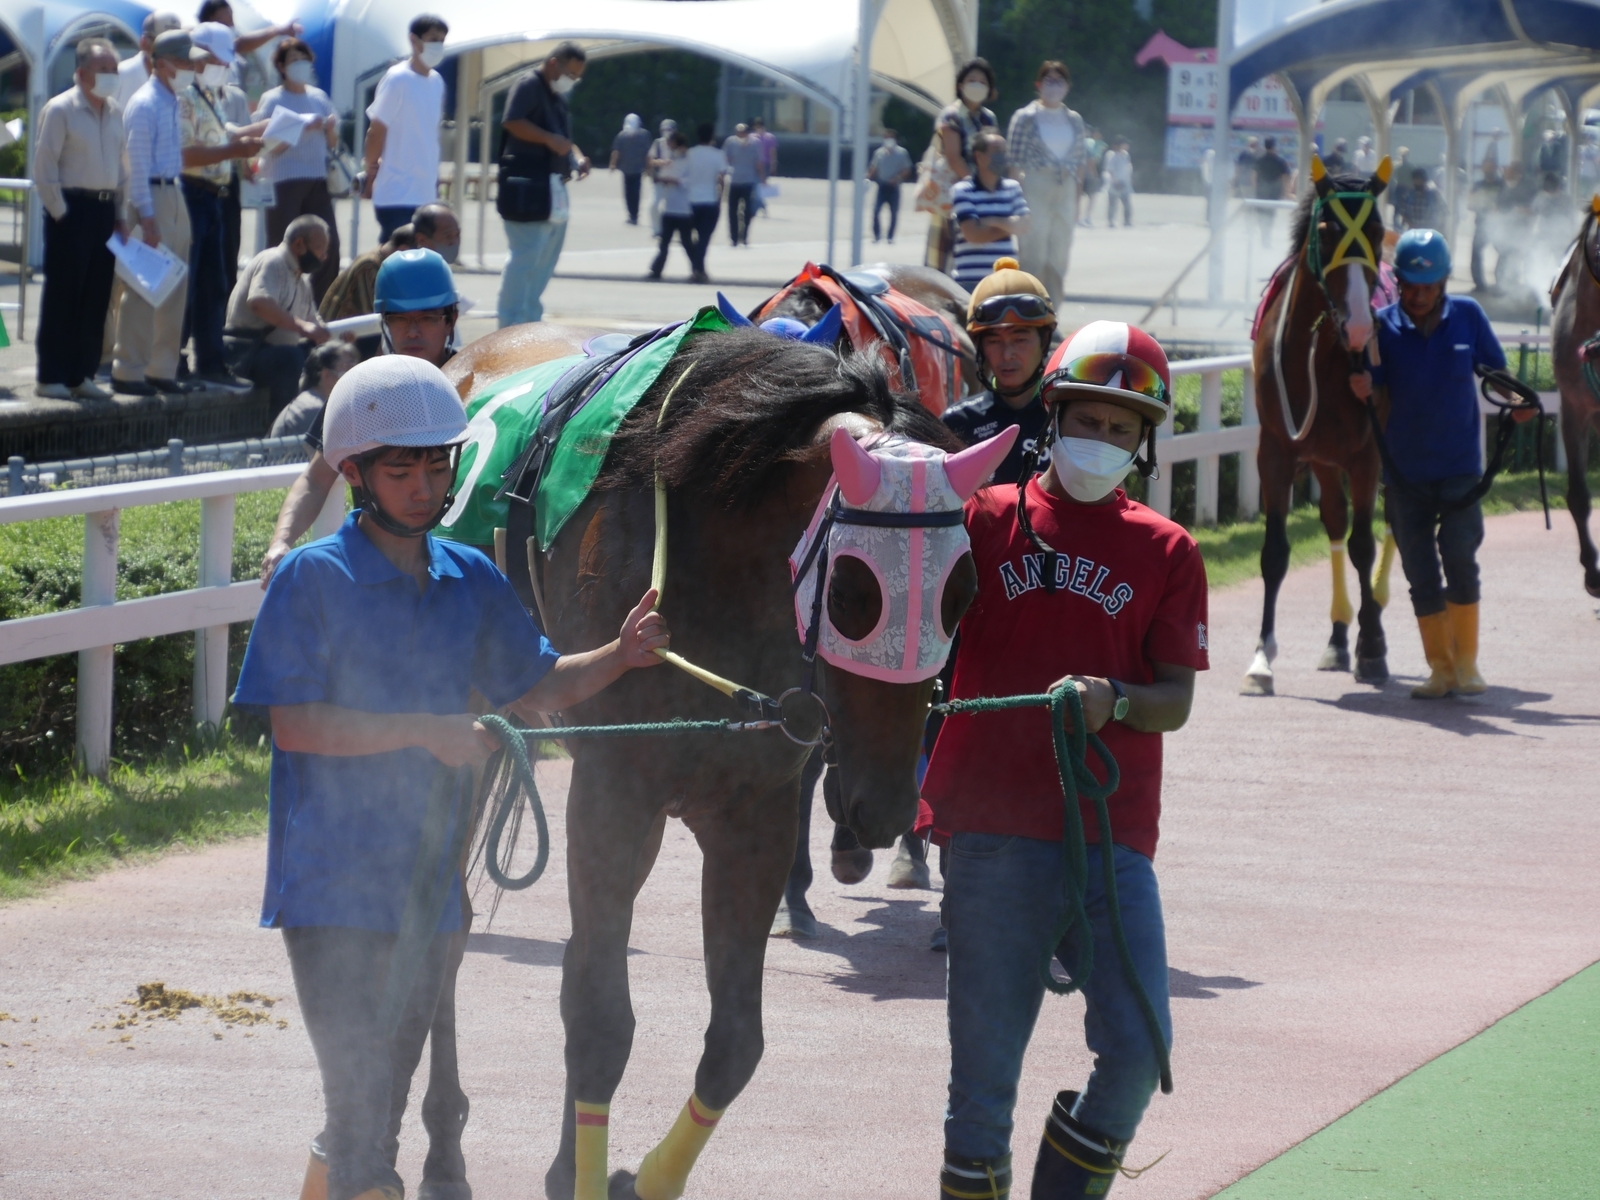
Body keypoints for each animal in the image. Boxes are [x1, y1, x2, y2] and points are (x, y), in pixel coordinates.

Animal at [490, 327, 1009, 1199]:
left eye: (962, 593)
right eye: (854, 595)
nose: (884, 809)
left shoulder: (754, 815)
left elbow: (736, 1043)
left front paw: (637, 1178)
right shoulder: (613, 796)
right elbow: (597, 1016)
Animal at [1242, 158, 1398, 695]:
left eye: (1375, 228)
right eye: (1327, 231)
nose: (1360, 327)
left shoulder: (1368, 453)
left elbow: (1363, 545)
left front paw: (1372, 647)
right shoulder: (1276, 450)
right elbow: (1274, 552)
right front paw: (1260, 659)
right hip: (1325, 459)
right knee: (1332, 519)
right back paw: (1336, 636)